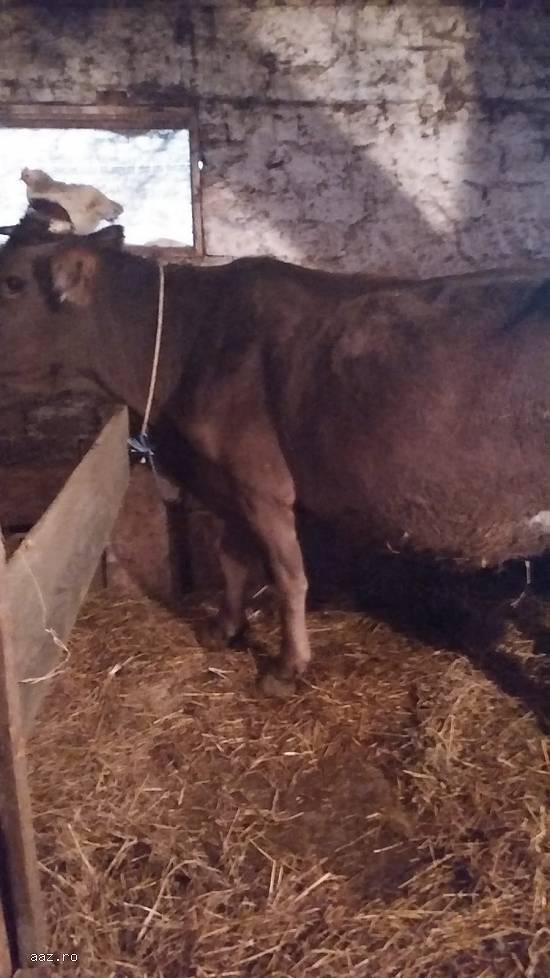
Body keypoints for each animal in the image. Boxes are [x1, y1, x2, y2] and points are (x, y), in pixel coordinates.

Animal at [2, 207, 550, 694]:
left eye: (12, 283)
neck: (188, 341)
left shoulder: (261, 484)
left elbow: (288, 577)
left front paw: (287, 668)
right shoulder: (224, 482)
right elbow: (231, 557)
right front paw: (224, 628)